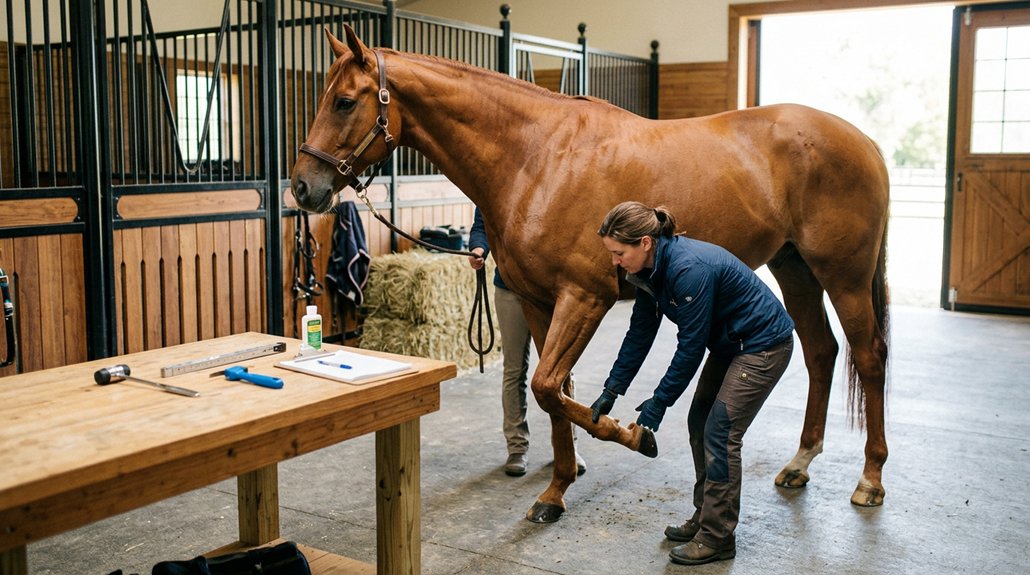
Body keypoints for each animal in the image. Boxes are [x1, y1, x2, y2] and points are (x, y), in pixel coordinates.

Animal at [290, 25, 891, 524]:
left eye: (344, 101)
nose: (302, 187)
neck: (537, 157)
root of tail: (865, 142)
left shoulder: (585, 297)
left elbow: (548, 385)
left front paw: (628, 434)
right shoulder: (539, 302)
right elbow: (553, 394)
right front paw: (557, 489)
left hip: (843, 276)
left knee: (867, 357)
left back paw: (869, 479)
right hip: (795, 268)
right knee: (820, 351)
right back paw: (800, 462)